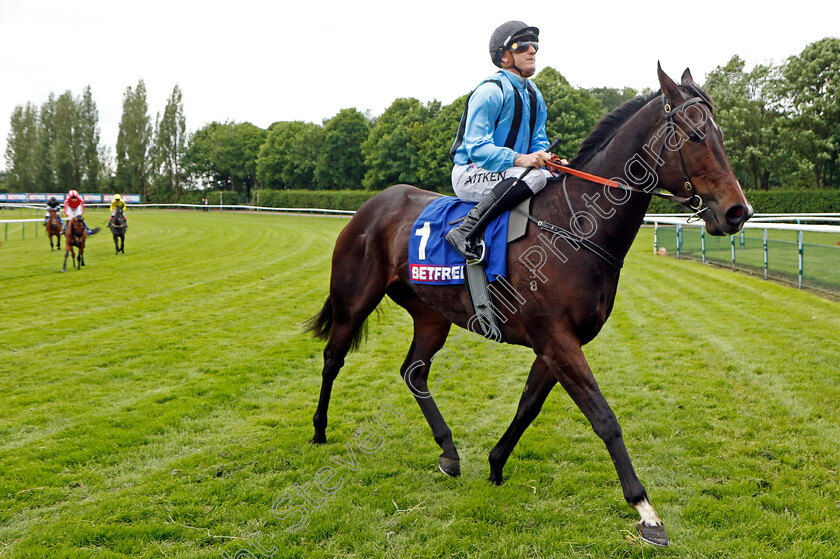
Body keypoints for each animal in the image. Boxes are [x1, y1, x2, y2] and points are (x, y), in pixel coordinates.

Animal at [306, 66, 752, 548]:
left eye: (720, 135)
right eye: (694, 135)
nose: (737, 211)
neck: (574, 228)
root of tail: (372, 205)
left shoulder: (556, 344)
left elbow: (528, 407)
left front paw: (495, 463)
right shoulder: (557, 341)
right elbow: (604, 417)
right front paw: (645, 511)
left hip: (431, 315)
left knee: (413, 372)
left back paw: (448, 451)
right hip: (354, 300)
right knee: (332, 358)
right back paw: (319, 429)